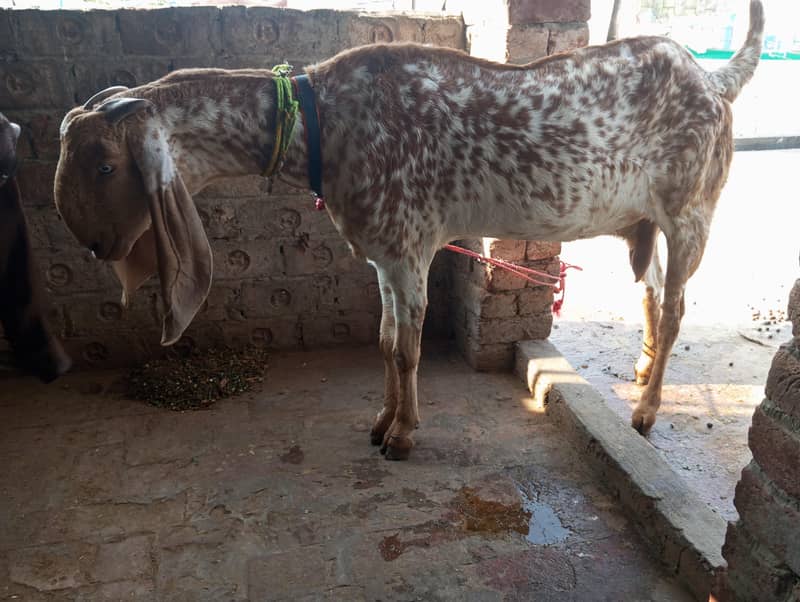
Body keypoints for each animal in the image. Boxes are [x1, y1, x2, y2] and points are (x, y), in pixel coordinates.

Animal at [54, 1, 764, 459]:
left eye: (106, 164)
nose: (96, 244)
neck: (321, 122)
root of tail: (713, 76)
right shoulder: (383, 257)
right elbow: (384, 339)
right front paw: (381, 419)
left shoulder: (407, 247)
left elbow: (406, 347)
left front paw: (401, 434)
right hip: (642, 222)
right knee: (651, 292)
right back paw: (640, 376)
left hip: (692, 212)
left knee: (675, 307)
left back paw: (646, 411)